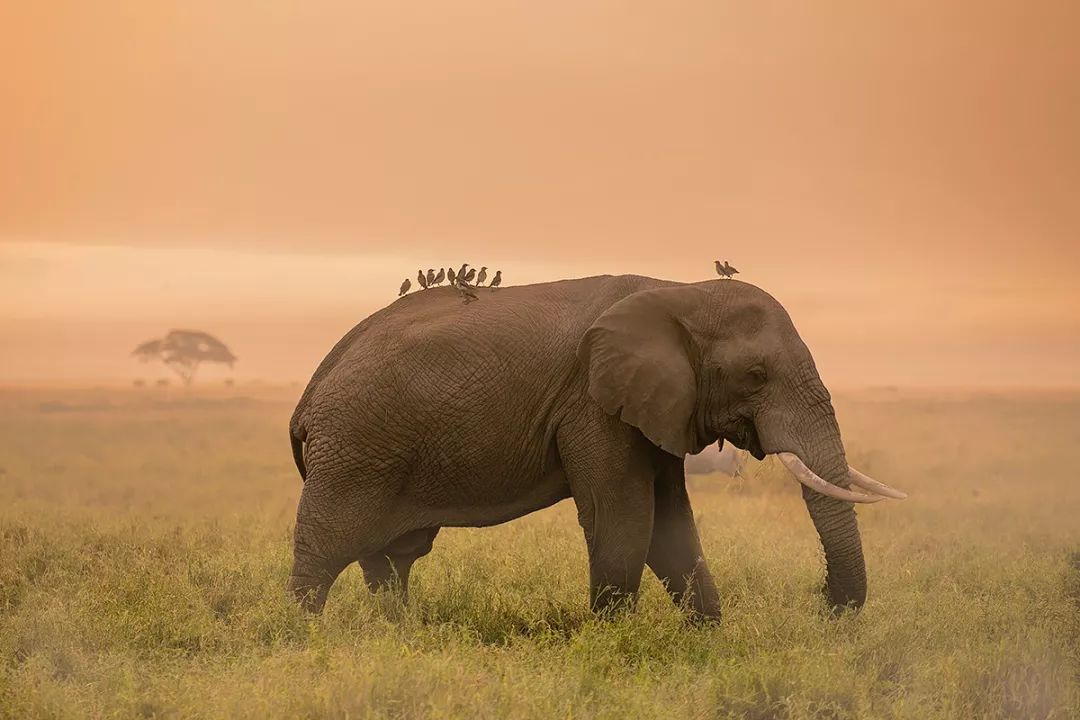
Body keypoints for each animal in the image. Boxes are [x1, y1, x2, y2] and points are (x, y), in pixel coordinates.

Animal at [287, 276, 902, 621]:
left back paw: (397, 636)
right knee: (325, 551)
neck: (680, 290)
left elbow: (671, 527)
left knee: (391, 558)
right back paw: (305, 641)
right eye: (755, 375)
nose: (824, 605)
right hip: (355, 449)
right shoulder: (594, 402)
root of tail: (310, 391)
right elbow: (625, 518)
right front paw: (612, 647)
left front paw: (707, 641)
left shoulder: (655, 405)